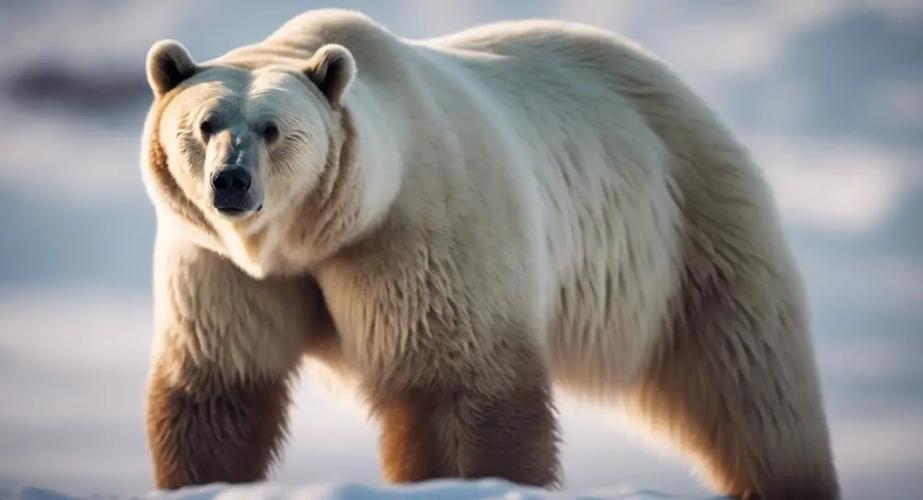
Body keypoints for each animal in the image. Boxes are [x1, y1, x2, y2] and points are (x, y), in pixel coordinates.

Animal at [140, 9, 838, 499]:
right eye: (204, 124)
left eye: (273, 129)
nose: (231, 182)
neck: (313, 234)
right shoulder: (221, 267)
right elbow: (220, 385)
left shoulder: (417, 236)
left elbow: (460, 384)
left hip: (687, 235)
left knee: (749, 384)